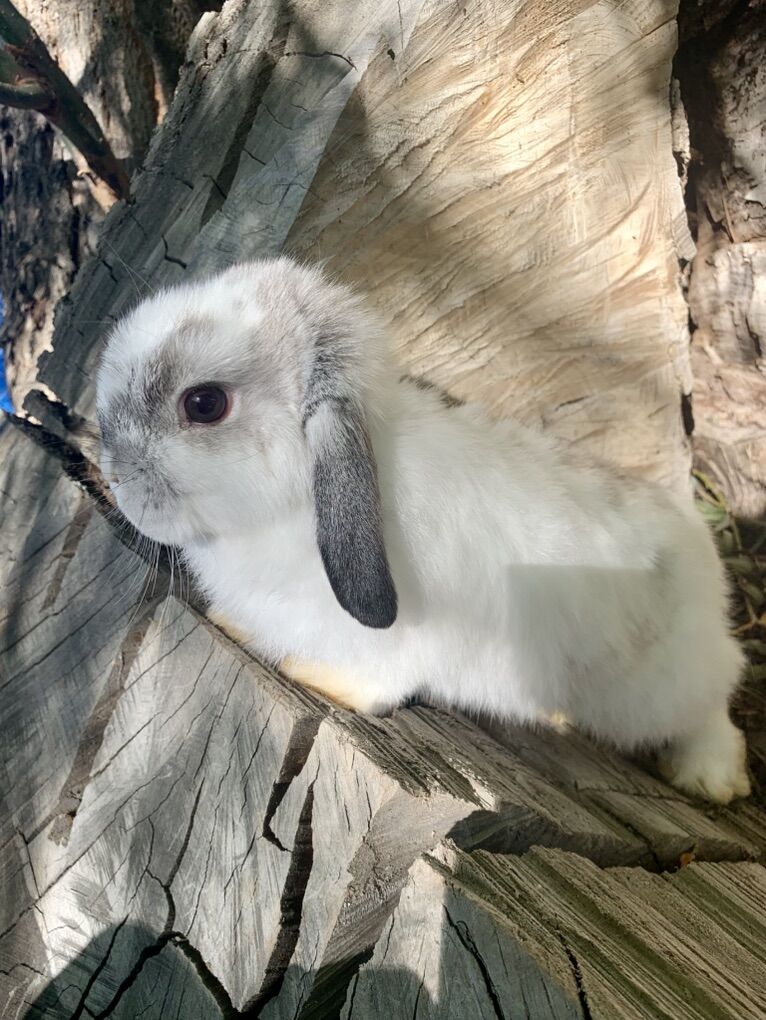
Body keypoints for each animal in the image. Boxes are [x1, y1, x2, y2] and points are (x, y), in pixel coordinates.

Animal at [96, 256, 751, 804]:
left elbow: (375, 688)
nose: (115, 477)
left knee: (716, 701)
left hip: (659, 689)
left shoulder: (392, 650)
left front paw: (306, 672)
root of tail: (700, 552)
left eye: (204, 404)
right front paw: (233, 625)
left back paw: (709, 778)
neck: (299, 502)